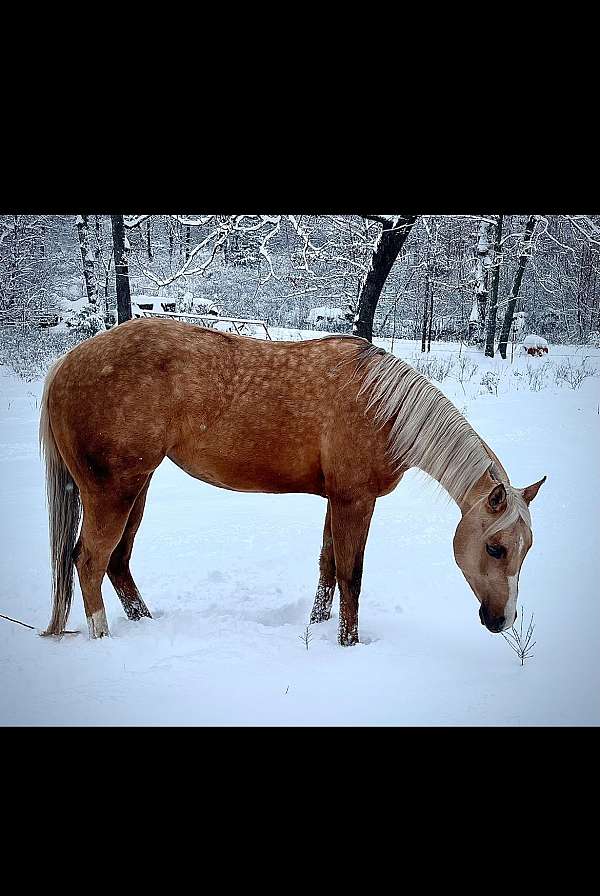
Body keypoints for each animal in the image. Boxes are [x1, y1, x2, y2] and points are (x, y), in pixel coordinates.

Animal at [39, 322, 548, 644]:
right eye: (496, 548)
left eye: (527, 549)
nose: (502, 621)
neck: (383, 409)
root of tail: (66, 364)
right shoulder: (355, 501)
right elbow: (351, 577)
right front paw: (348, 645)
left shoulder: (336, 500)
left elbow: (327, 568)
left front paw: (317, 629)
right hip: (113, 491)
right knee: (89, 561)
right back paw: (104, 638)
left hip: (138, 486)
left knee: (117, 562)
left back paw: (147, 624)